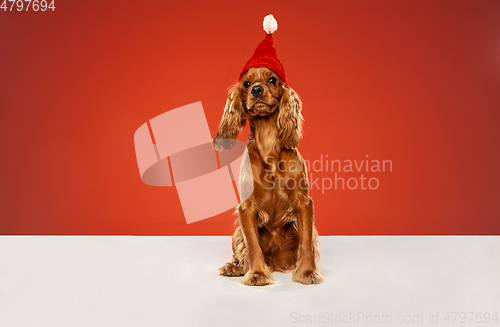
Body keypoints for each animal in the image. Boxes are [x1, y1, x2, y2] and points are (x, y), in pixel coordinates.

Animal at [213, 67, 322, 288]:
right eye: (246, 83)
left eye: (272, 80)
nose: (256, 89)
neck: (268, 140)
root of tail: (276, 262)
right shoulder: (246, 208)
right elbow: (252, 246)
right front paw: (257, 274)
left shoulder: (304, 203)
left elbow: (306, 243)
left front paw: (307, 273)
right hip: (237, 232)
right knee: (242, 252)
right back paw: (235, 267)